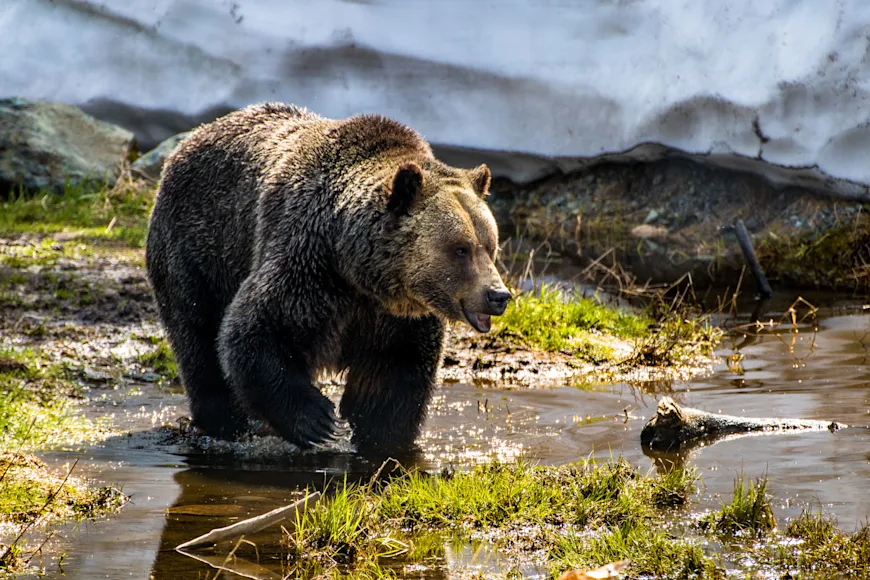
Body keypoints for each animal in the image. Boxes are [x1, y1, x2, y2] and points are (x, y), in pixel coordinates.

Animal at [145, 103, 511, 453]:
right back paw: (222, 422)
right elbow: (256, 329)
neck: (360, 271)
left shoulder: (397, 317)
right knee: (198, 333)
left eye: (490, 245)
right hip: (198, 248)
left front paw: (380, 438)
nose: (498, 295)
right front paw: (317, 420)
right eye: (460, 249)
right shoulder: (307, 262)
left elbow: (395, 375)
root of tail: (194, 135)